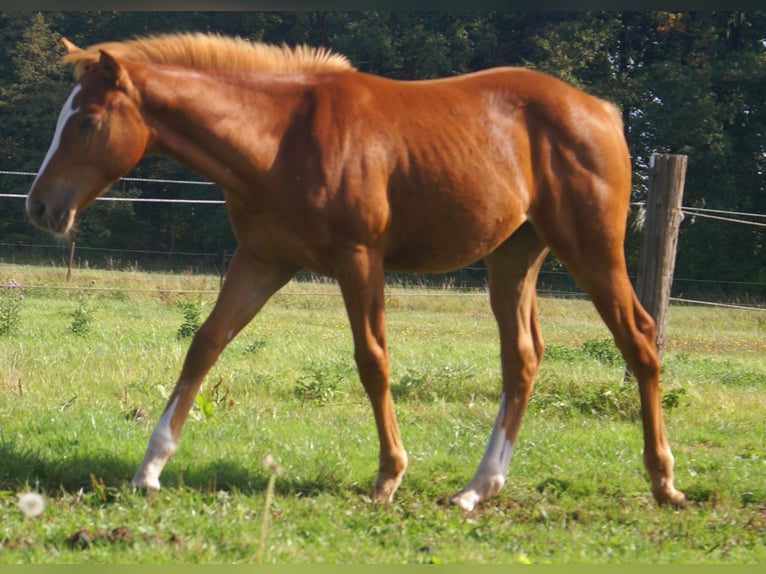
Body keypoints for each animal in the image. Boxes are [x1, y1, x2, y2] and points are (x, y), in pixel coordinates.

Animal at [26, 33, 686, 511]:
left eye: (86, 122)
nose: (40, 208)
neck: (280, 137)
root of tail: (602, 110)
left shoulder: (358, 258)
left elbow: (372, 359)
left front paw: (389, 475)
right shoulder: (263, 260)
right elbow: (206, 344)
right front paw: (150, 467)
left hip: (590, 248)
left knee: (639, 338)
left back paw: (664, 481)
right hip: (513, 257)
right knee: (521, 358)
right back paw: (477, 488)